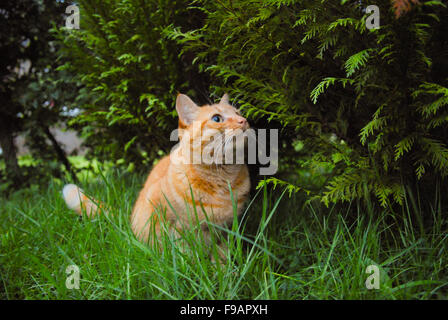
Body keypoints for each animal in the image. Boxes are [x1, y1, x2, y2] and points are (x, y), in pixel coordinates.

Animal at [62, 94, 250, 258]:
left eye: (238, 112)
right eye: (217, 118)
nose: (244, 121)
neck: (221, 179)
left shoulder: (227, 230)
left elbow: (223, 256)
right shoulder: (176, 227)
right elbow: (185, 254)